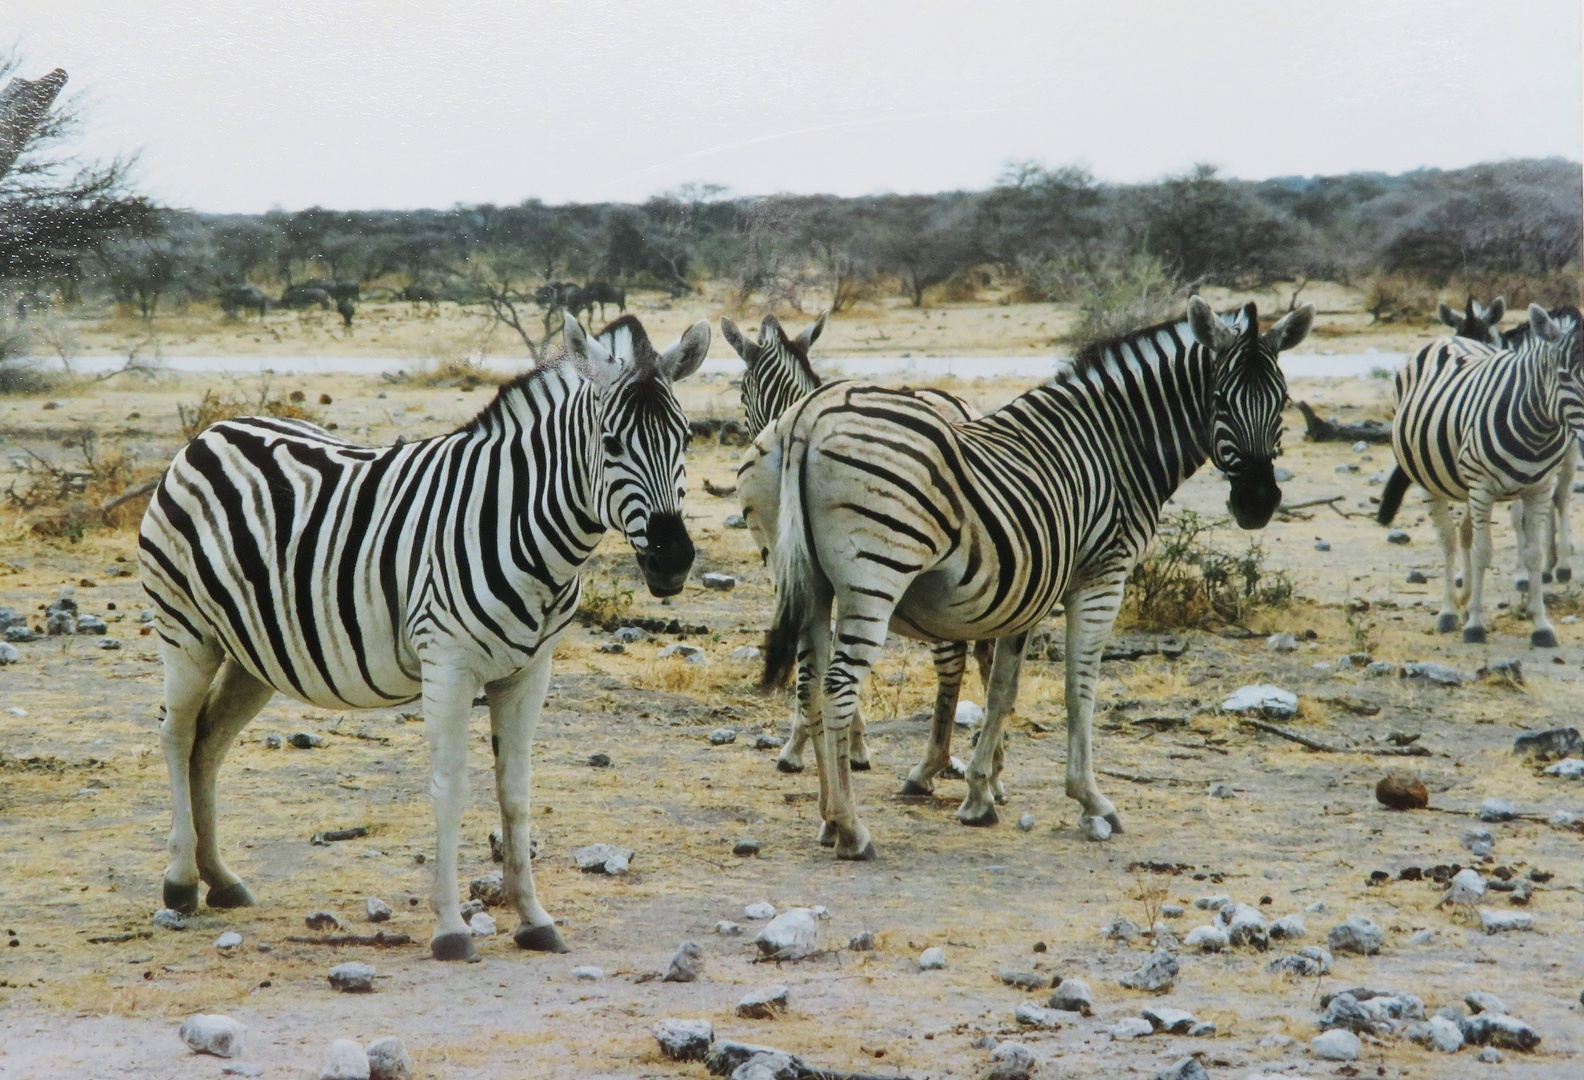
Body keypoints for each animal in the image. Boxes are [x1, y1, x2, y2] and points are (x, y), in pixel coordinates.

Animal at [139, 311, 709, 956]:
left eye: (687, 439)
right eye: (610, 444)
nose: (672, 561)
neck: (522, 524)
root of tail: (211, 432)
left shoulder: (530, 672)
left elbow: (516, 793)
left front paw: (534, 919)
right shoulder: (448, 664)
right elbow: (450, 789)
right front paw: (450, 927)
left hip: (254, 652)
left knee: (209, 742)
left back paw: (221, 878)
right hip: (187, 633)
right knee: (177, 735)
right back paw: (181, 882)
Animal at [753, 296, 1311, 855]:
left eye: (1283, 400)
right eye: (1218, 399)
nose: (1258, 503)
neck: (1114, 446)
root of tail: (807, 420)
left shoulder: (1027, 585)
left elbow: (1002, 688)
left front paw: (979, 795)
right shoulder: (1101, 575)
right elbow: (1078, 686)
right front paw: (1090, 798)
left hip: (810, 582)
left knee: (811, 683)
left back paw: (828, 819)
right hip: (874, 578)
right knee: (838, 686)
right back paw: (852, 829)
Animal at [1374, 299, 1584, 642]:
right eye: (1564, 375)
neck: (1537, 430)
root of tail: (1447, 340)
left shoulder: (1538, 487)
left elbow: (1532, 552)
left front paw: (1541, 625)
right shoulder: (1483, 486)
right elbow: (1483, 552)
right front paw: (1474, 624)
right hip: (1432, 481)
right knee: (1449, 539)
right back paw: (1449, 611)